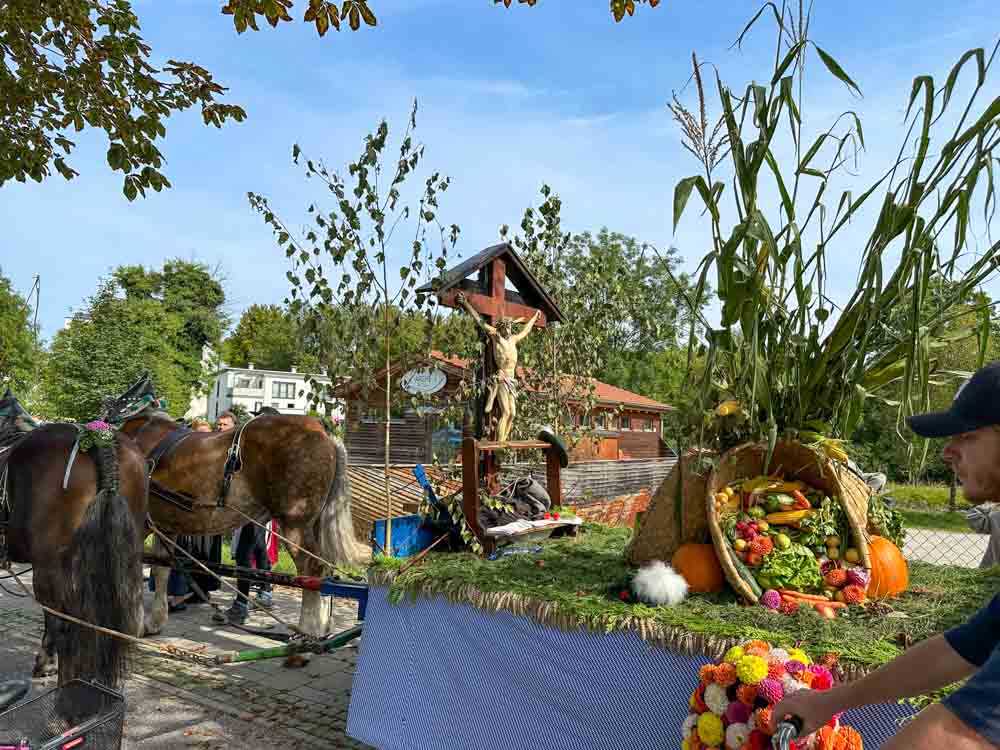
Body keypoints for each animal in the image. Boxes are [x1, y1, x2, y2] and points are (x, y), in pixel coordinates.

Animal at [107, 388, 366, 640]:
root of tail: (322, 432)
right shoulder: (165, 526)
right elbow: (161, 570)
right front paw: (154, 622)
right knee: (326, 570)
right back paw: (323, 626)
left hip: (295, 525)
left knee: (312, 569)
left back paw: (309, 629)